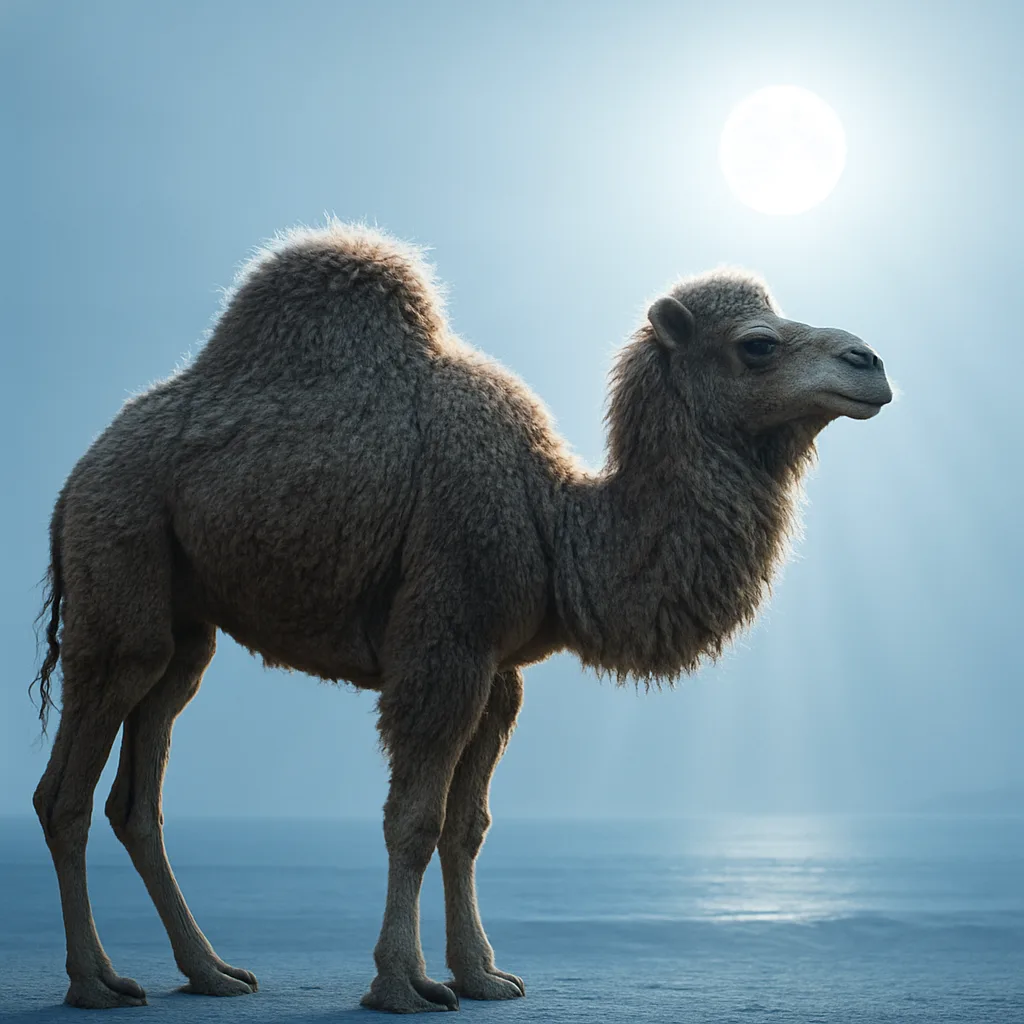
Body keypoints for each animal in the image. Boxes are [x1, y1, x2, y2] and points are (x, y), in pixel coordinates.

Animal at [30, 222, 892, 1013]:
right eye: (757, 345)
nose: (870, 363)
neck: (554, 522)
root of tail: (72, 484)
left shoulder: (497, 670)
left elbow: (465, 825)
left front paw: (479, 976)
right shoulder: (442, 642)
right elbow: (413, 819)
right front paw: (402, 985)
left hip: (184, 627)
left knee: (138, 796)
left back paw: (210, 972)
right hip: (119, 571)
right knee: (64, 791)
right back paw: (95, 983)